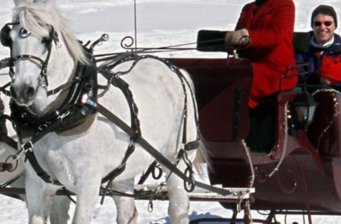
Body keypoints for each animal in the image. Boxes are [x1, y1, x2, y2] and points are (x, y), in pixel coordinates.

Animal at [5, 0, 203, 224]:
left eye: (46, 39)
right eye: (9, 39)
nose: (22, 90)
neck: (56, 119)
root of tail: (172, 68)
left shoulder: (88, 184)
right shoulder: (36, 185)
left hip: (175, 158)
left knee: (178, 208)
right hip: (123, 171)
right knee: (128, 213)